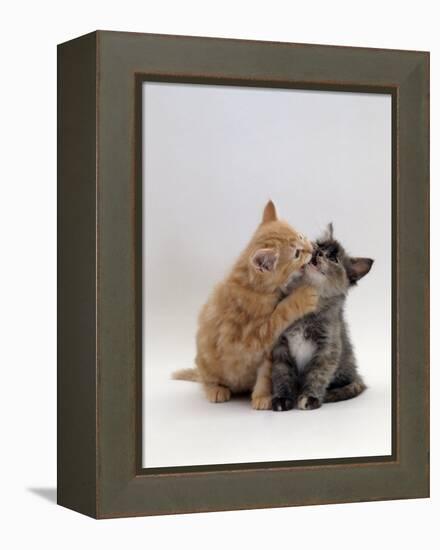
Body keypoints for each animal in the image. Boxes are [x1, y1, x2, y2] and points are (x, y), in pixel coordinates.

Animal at [174, 202, 318, 410]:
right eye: (296, 254)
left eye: (300, 236)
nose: (311, 248)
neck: (254, 287)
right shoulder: (248, 338)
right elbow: (279, 314)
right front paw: (302, 296)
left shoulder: (267, 353)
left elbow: (265, 374)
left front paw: (262, 396)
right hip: (205, 359)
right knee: (206, 379)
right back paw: (215, 389)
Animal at [272, 223, 372, 410]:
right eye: (319, 245)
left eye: (333, 258)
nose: (318, 252)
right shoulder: (280, 347)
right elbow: (282, 374)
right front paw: (282, 398)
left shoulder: (327, 349)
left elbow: (318, 375)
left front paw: (310, 397)